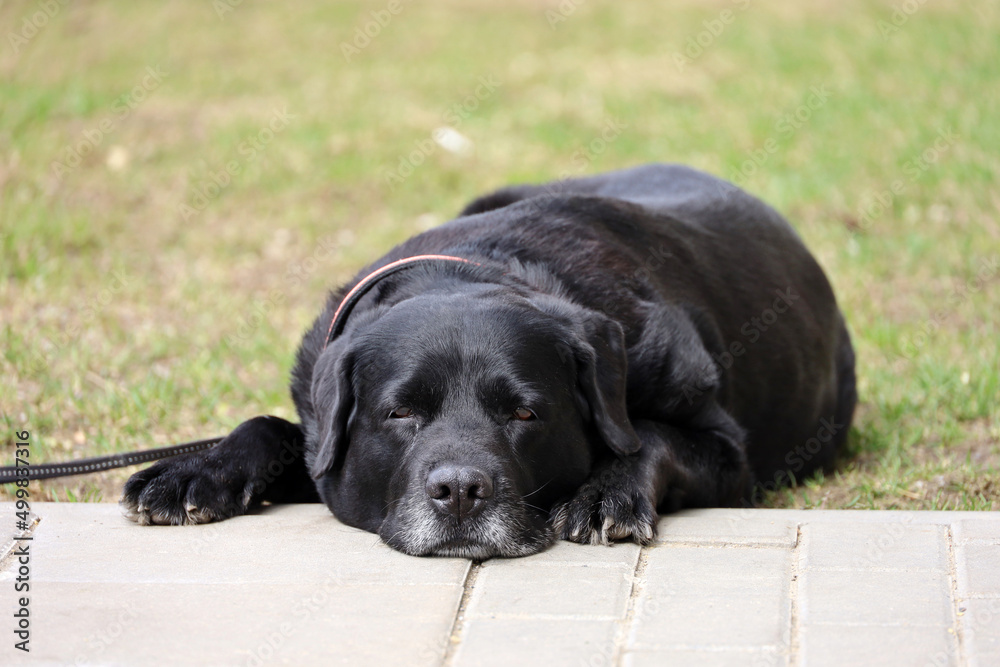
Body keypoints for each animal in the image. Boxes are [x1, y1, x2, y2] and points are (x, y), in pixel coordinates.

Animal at [123, 163, 860, 560]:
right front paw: (194, 472)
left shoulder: (725, 449)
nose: (459, 491)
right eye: (400, 414)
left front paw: (605, 491)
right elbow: (271, 427)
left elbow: (652, 435)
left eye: (526, 414)